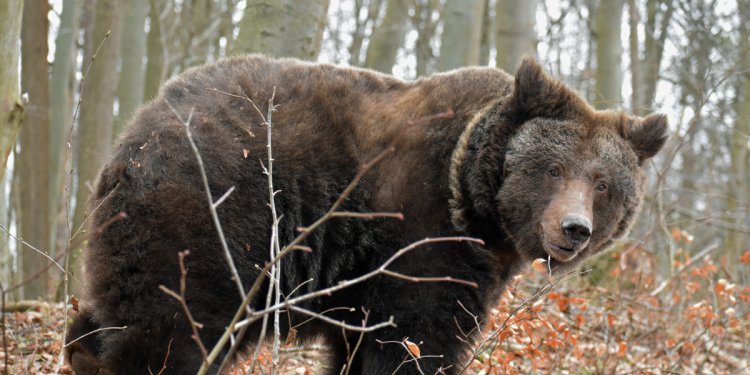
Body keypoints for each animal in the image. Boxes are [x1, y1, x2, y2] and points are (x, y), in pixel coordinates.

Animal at [66, 56, 668, 375]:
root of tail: (135, 135)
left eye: (603, 184)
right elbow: (413, 340)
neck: (475, 208)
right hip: (215, 220)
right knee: (173, 326)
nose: (574, 229)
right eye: (553, 169)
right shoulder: (416, 235)